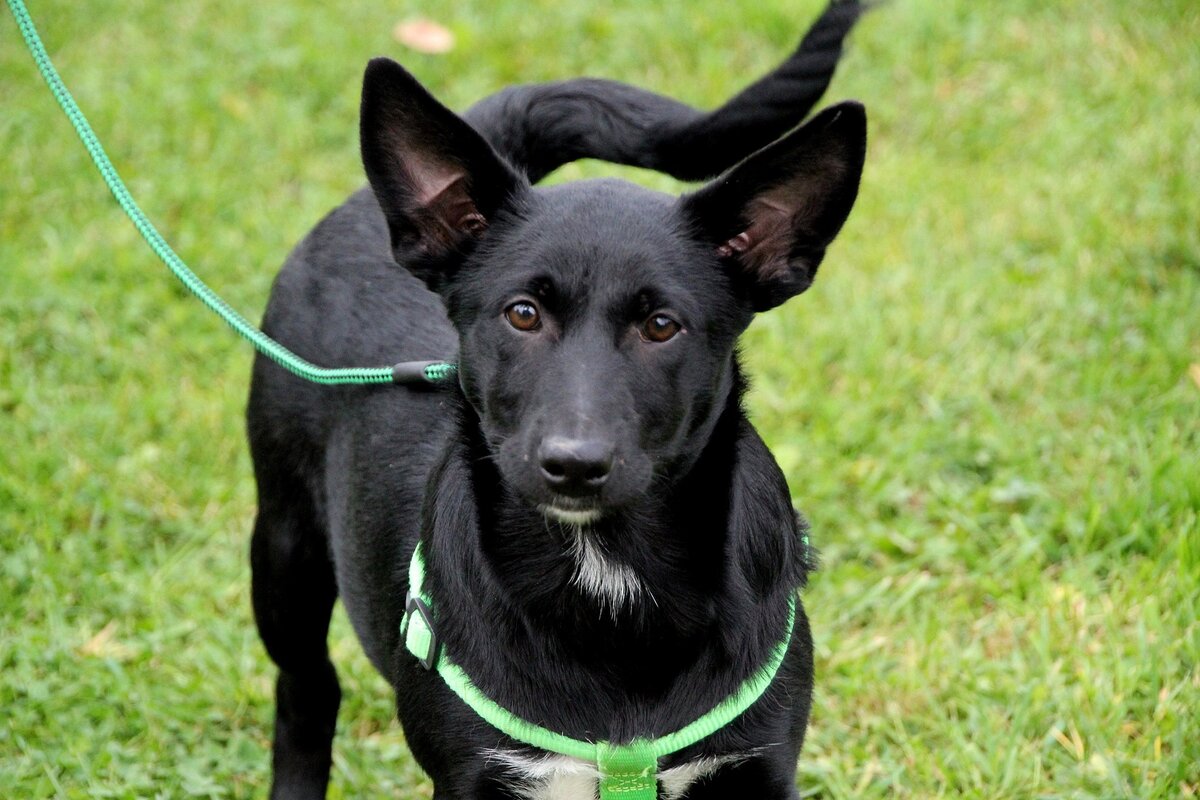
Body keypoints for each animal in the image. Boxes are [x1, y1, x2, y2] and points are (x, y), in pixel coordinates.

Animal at [246, 3, 864, 796]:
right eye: (522, 314)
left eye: (661, 326)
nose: (574, 464)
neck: (605, 570)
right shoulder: (475, 775)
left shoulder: (756, 765)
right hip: (285, 545)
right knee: (306, 685)